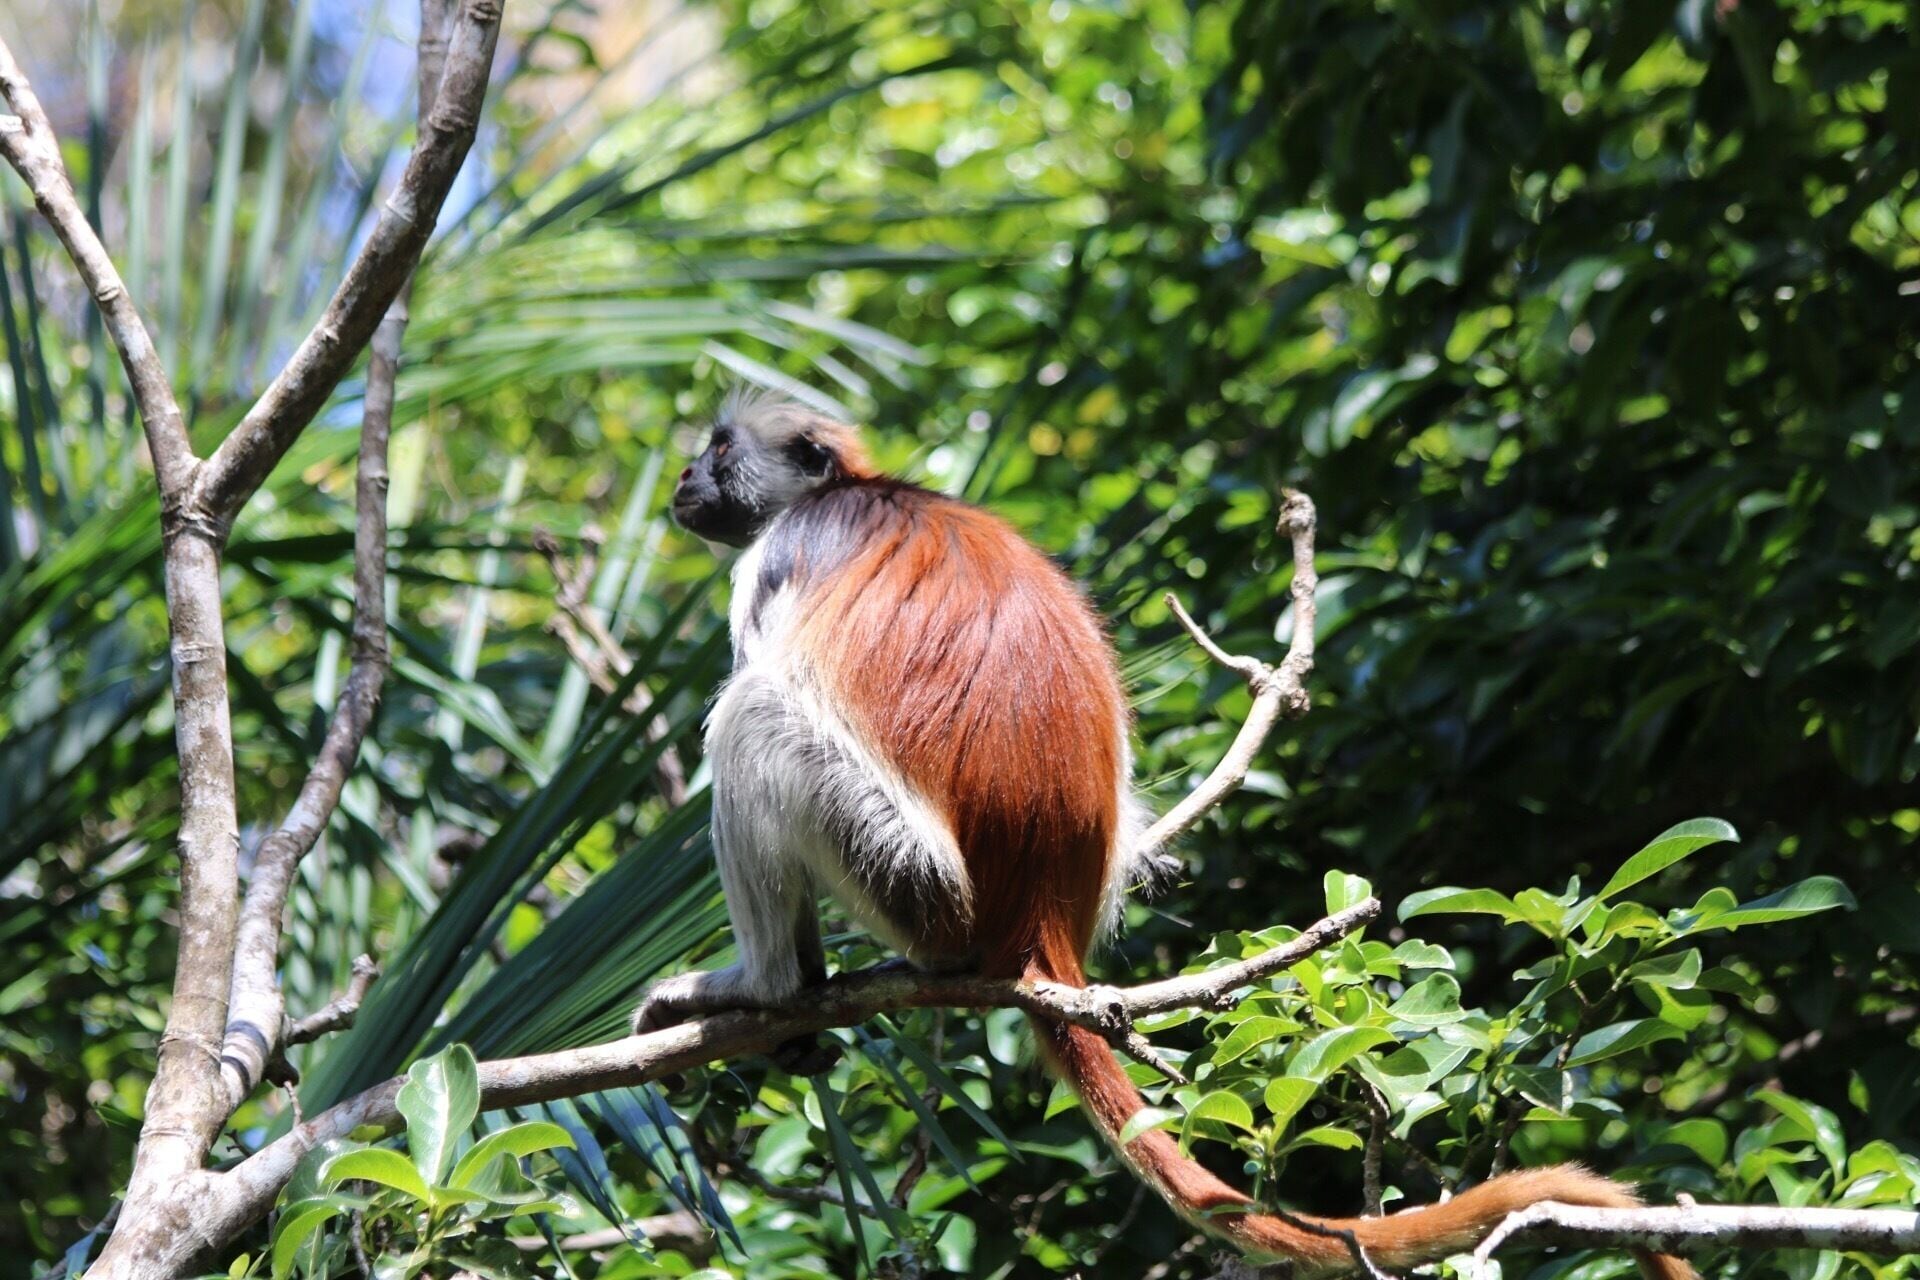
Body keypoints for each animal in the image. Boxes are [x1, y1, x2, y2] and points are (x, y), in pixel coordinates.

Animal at [634, 389, 1695, 1280]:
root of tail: (1038, 924)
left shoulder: (775, 559)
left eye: (719, 451)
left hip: (912, 879)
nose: (685, 477)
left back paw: (772, 985)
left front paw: (788, 1006)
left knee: (752, 715)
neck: (854, 492)